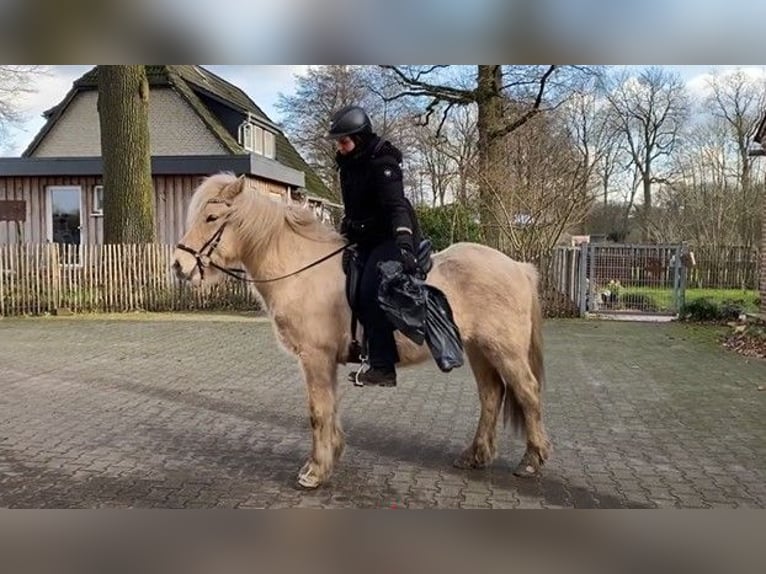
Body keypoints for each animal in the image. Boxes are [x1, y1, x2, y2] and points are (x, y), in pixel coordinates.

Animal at [171, 172, 548, 490]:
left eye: (211, 218)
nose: (179, 265)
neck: (302, 271)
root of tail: (518, 267)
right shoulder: (324, 362)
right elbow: (330, 408)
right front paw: (329, 457)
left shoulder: (315, 358)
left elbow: (318, 411)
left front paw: (315, 471)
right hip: (478, 349)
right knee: (491, 395)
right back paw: (476, 455)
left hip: (504, 350)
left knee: (527, 392)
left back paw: (532, 460)